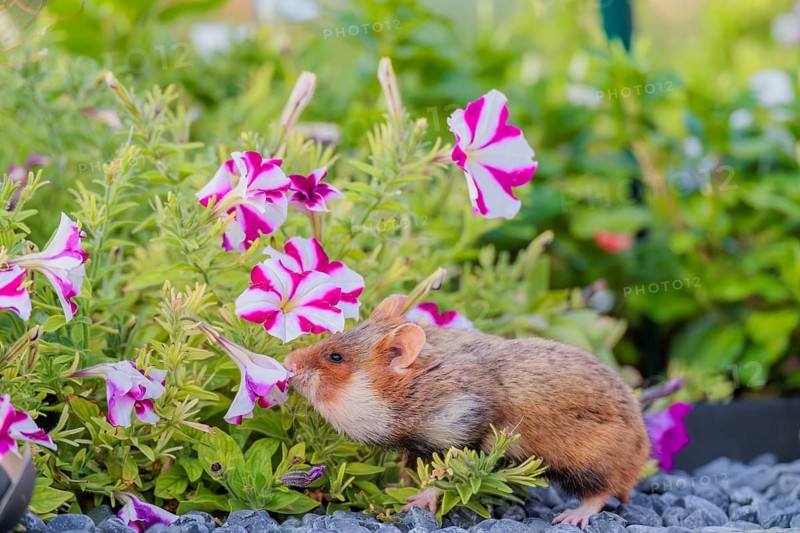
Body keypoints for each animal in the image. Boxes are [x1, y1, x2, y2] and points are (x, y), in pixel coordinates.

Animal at [284, 294, 650, 529]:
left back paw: (571, 517)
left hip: (590, 461)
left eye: (335, 357)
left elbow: (443, 476)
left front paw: (415, 502)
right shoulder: (416, 448)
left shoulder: (462, 433)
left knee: (601, 492)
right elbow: (411, 472)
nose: (286, 363)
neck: (415, 389)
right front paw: (393, 490)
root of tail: (641, 454)